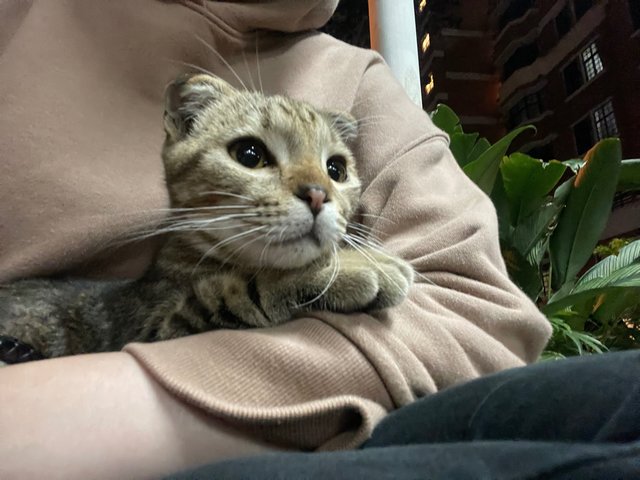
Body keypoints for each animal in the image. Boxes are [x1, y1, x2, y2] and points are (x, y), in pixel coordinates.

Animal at [0, 73, 412, 362]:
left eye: (336, 169)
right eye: (249, 154)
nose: (317, 193)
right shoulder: (154, 331)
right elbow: (242, 285)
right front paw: (353, 266)